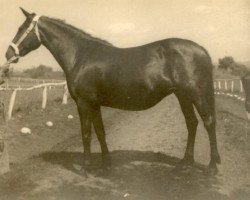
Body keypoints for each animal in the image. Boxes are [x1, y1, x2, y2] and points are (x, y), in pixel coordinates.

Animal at [4, 8, 221, 173]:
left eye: (22, 29)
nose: (8, 54)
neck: (81, 55)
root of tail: (201, 49)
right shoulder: (95, 104)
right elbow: (100, 131)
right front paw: (106, 163)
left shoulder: (83, 103)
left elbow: (86, 133)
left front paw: (86, 167)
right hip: (183, 96)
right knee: (192, 124)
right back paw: (186, 162)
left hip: (196, 95)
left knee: (209, 123)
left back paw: (212, 166)